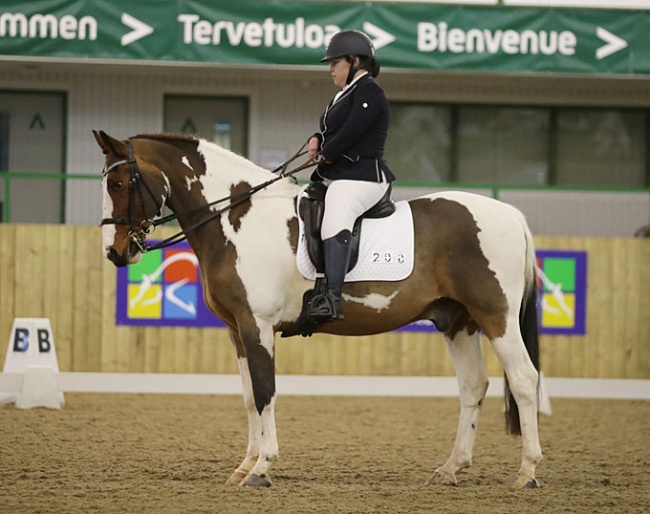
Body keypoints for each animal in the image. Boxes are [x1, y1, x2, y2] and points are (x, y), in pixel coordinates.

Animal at [93, 129, 540, 488]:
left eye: (118, 182)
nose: (116, 253)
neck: (237, 217)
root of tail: (513, 215)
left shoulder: (258, 325)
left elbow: (265, 392)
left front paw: (262, 468)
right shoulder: (237, 330)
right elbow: (248, 396)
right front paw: (244, 466)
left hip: (495, 317)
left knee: (523, 379)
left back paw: (527, 472)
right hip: (458, 322)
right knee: (473, 386)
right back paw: (450, 469)